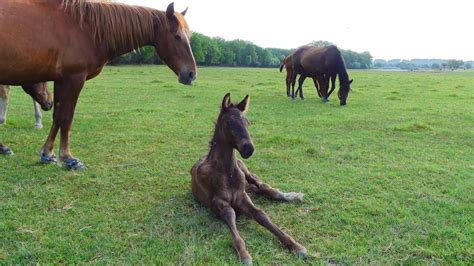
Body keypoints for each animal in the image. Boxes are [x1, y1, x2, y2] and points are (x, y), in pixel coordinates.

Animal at [0, 0, 196, 169]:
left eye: (189, 36)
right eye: (177, 36)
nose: (191, 74)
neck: (85, 27)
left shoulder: (62, 80)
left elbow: (57, 116)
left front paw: (48, 154)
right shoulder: (74, 78)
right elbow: (66, 117)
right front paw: (68, 158)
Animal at [192, 93, 308, 264]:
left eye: (247, 122)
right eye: (228, 122)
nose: (249, 149)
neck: (227, 173)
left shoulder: (242, 197)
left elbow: (261, 215)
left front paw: (295, 245)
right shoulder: (219, 203)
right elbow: (231, 215)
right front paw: (244, 254)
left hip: (246, 171)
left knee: (263, 186)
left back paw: (291, 196)